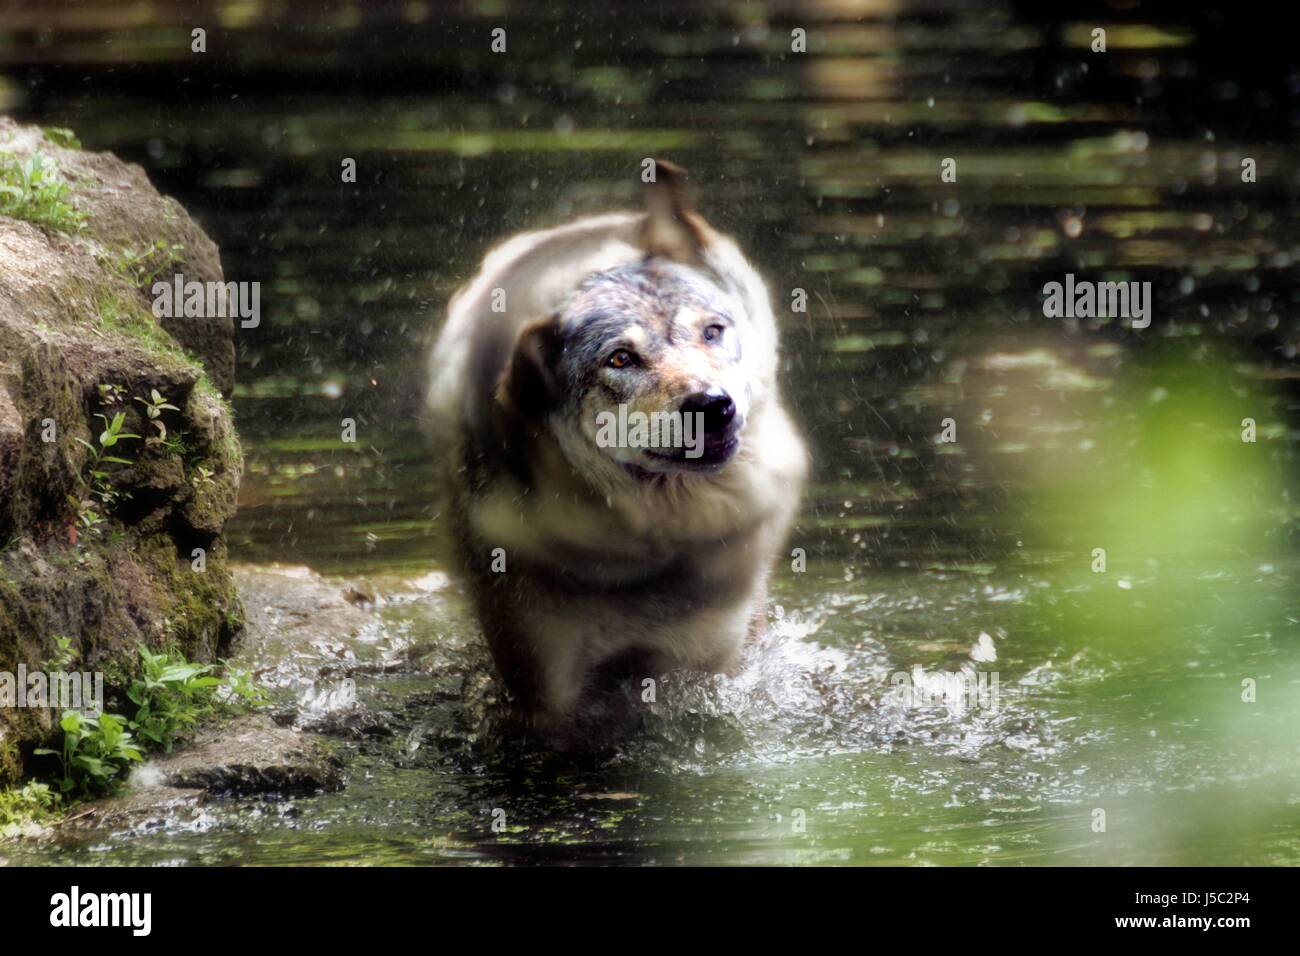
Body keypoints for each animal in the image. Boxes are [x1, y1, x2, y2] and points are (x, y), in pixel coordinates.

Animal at [426, 160, 806, 738]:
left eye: (713, 331)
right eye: (620, 358)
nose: (712, 405)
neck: (647, 546)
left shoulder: (710, 660)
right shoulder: (543, 686)